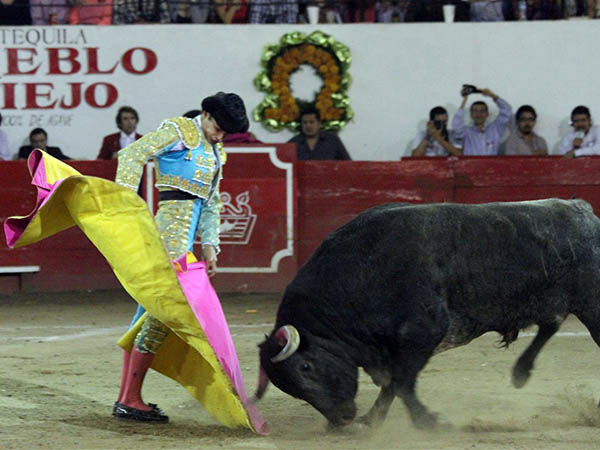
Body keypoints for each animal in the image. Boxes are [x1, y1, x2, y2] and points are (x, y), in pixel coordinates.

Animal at [255, 200, 600, 428]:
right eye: (292, 390)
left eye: (307, 367)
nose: (341, 418)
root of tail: (585, 212)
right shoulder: (393, 348)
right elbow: (392, 384)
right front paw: (372, 420)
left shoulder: (423, 332)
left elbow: (402, 383)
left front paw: (430, 422)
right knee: (550, 324)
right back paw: (521, 372)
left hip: (591, 305)